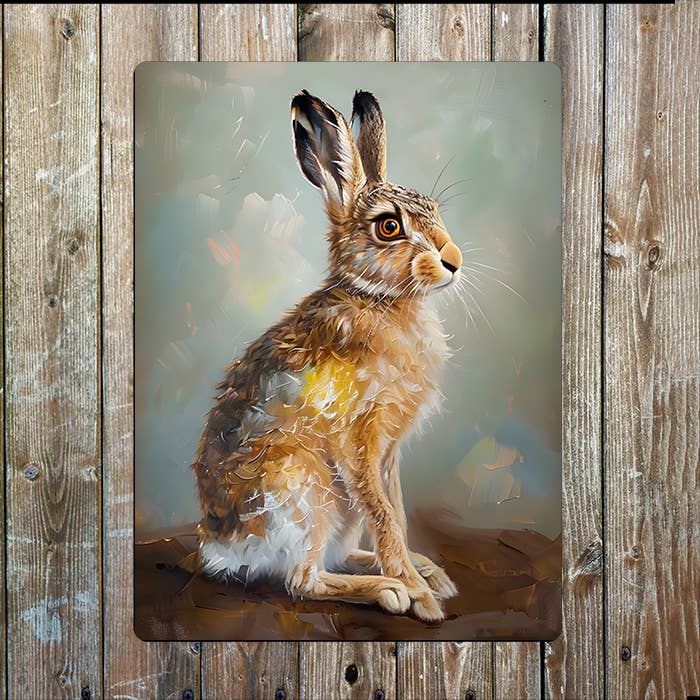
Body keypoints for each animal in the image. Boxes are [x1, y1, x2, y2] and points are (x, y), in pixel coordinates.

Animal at [192, 89, 462, 623]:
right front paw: (418, 594)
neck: (378, 300)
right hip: (303, 488)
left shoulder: (387, 456)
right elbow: (385, 516)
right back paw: (392, 590)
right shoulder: (357, 443)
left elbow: (395, 513)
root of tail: (221, 548)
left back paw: (423, 573)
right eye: (389, 227)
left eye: (435, 212)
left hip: (336, 507)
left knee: (339, 555)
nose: (454, 261)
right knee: (303, 580)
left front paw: (422, 575)